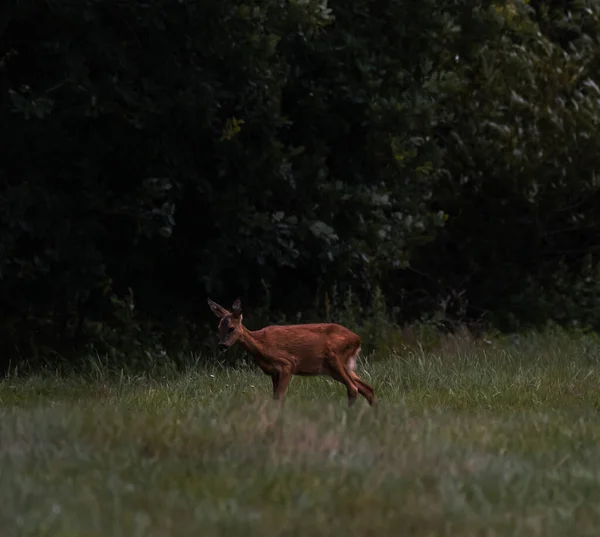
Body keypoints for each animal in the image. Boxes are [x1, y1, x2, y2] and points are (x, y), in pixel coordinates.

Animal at [206, 298, 376, 406]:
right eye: (219, 327)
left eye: (231, 328)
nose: (222, 345)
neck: (261, 346)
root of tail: (357, 340)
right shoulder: (273, 372)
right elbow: (275, 398)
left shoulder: (287, 364)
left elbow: (279, 397)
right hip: (338, 367)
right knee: (367, 388)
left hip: (335, 358)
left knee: (353, 388)